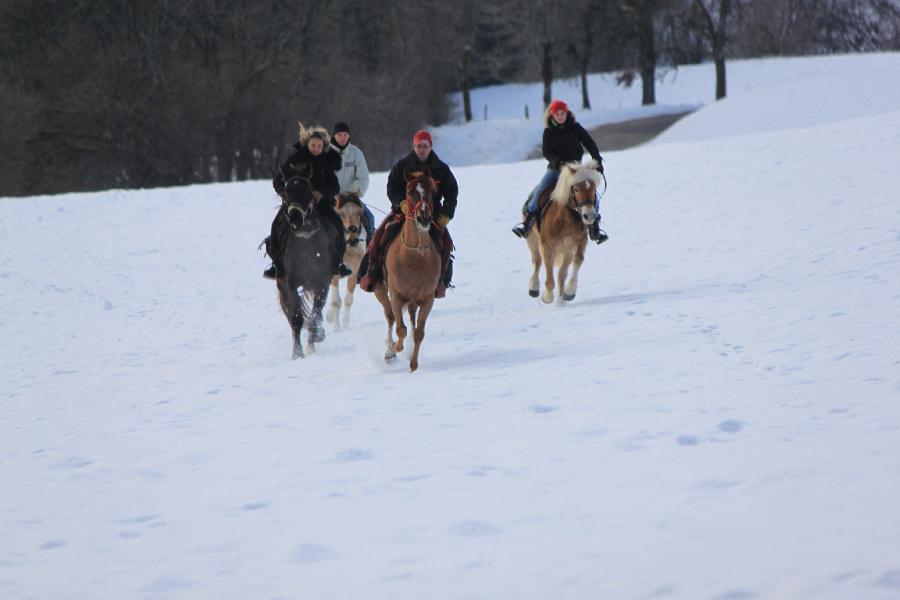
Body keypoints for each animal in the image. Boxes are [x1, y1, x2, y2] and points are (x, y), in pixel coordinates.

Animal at [276, 170, 342, 356]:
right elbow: (296, 317)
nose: (295, 218)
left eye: (308, 191)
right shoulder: (290, 285)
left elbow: (316, 313)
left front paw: (315, 338)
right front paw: (297, 353)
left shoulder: (322, 283)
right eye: (286, 192)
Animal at [326, 193, 370, 330]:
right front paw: (337, 327)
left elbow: (347, 300)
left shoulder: (354, 271)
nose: (353, 240)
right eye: (341, 214)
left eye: (359, 213)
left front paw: (344, 324)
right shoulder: (333, 273)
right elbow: (336, 302)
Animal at [372, 169, 442, 372]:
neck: (415, 256)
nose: (424, 218)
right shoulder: (396, 295)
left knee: (409, 318)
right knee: (390, 318)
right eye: (409, 192)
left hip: (413, 301)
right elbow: (400, 328)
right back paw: (389, 351)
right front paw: (395, 348)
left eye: (433, 192)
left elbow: (419, 332)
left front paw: (413, 362)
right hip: (381, 290)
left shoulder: (427, 298)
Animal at [524, 159, 600, 302]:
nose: (589, 216)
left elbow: (578, 260)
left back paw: (561, 300)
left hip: (566, 252)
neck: (565, 220)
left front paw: (569, 292)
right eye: (576, 189)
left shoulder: (576, 245)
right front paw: (547, 297)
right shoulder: (547, 248)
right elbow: (549, 278)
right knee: (537, 262)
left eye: (593, 188)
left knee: (561, 275)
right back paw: (533, 288)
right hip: (532, 240)